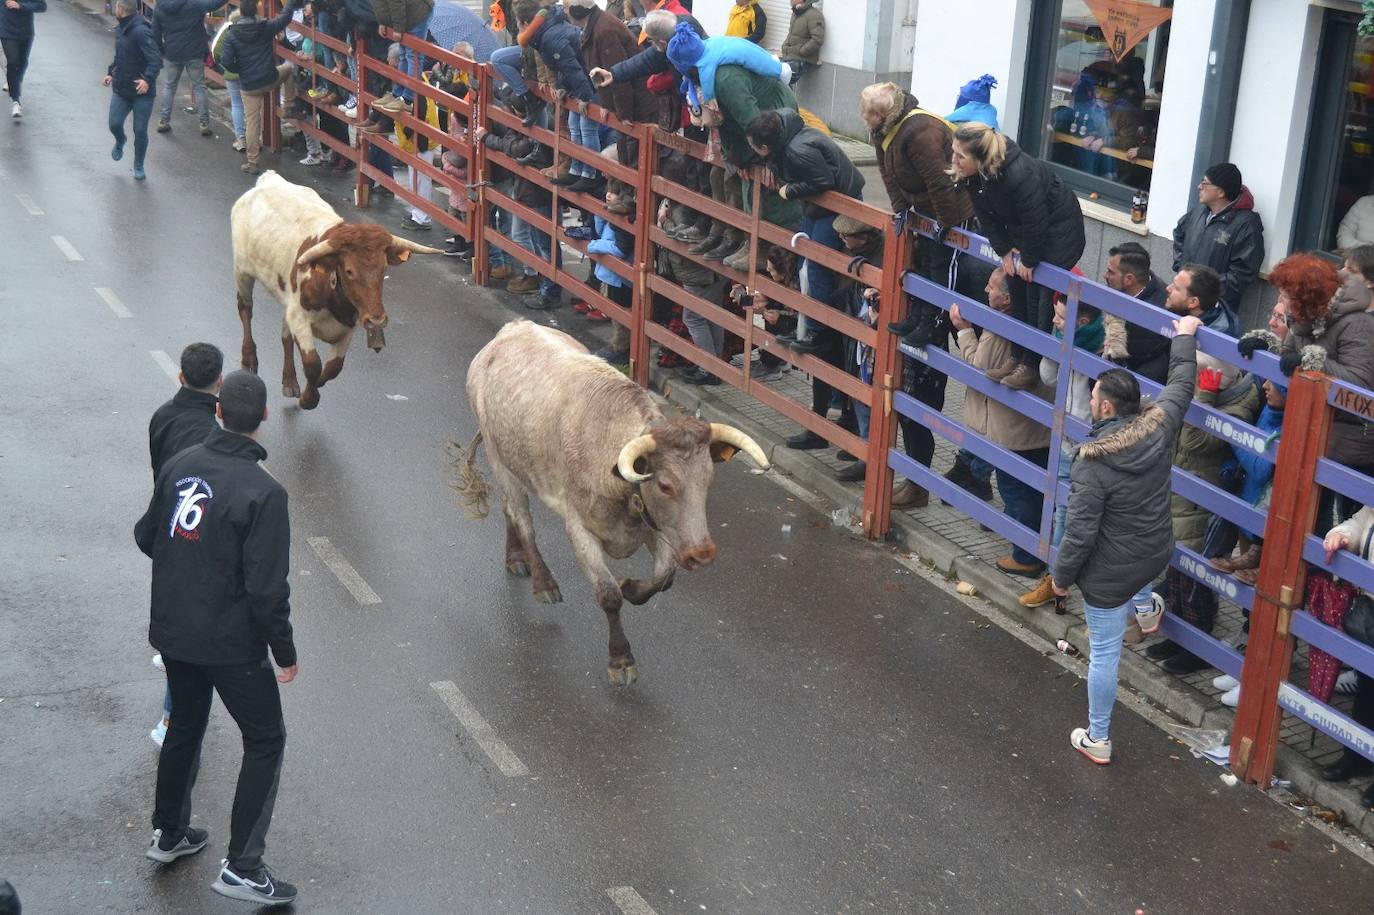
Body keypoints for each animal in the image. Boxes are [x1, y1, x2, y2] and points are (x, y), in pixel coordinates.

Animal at [229, 171, 434, 406]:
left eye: (383, 269)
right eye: (349, 271)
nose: (376, 321)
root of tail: (269, 178)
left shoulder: (348, 326)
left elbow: (333, 368)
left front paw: (315, 385)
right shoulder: (299, 316)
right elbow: (312, 363)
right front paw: (309, 399)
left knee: (285, 334)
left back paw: (290, 381)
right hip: (242, 271)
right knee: (245, 310)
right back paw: (249, 359)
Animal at [453, 317, 769, 681]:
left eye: (709, 479)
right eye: (665, 486)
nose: (702, 554)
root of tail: (513, 328)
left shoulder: (658, 527)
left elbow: (663, 577)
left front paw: (631, 585)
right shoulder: (580, 529)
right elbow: (608, 594)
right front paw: (621, 658)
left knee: (509, 510)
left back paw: (515, 558)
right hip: (499, 459)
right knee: (522, 519)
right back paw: (542, 581)